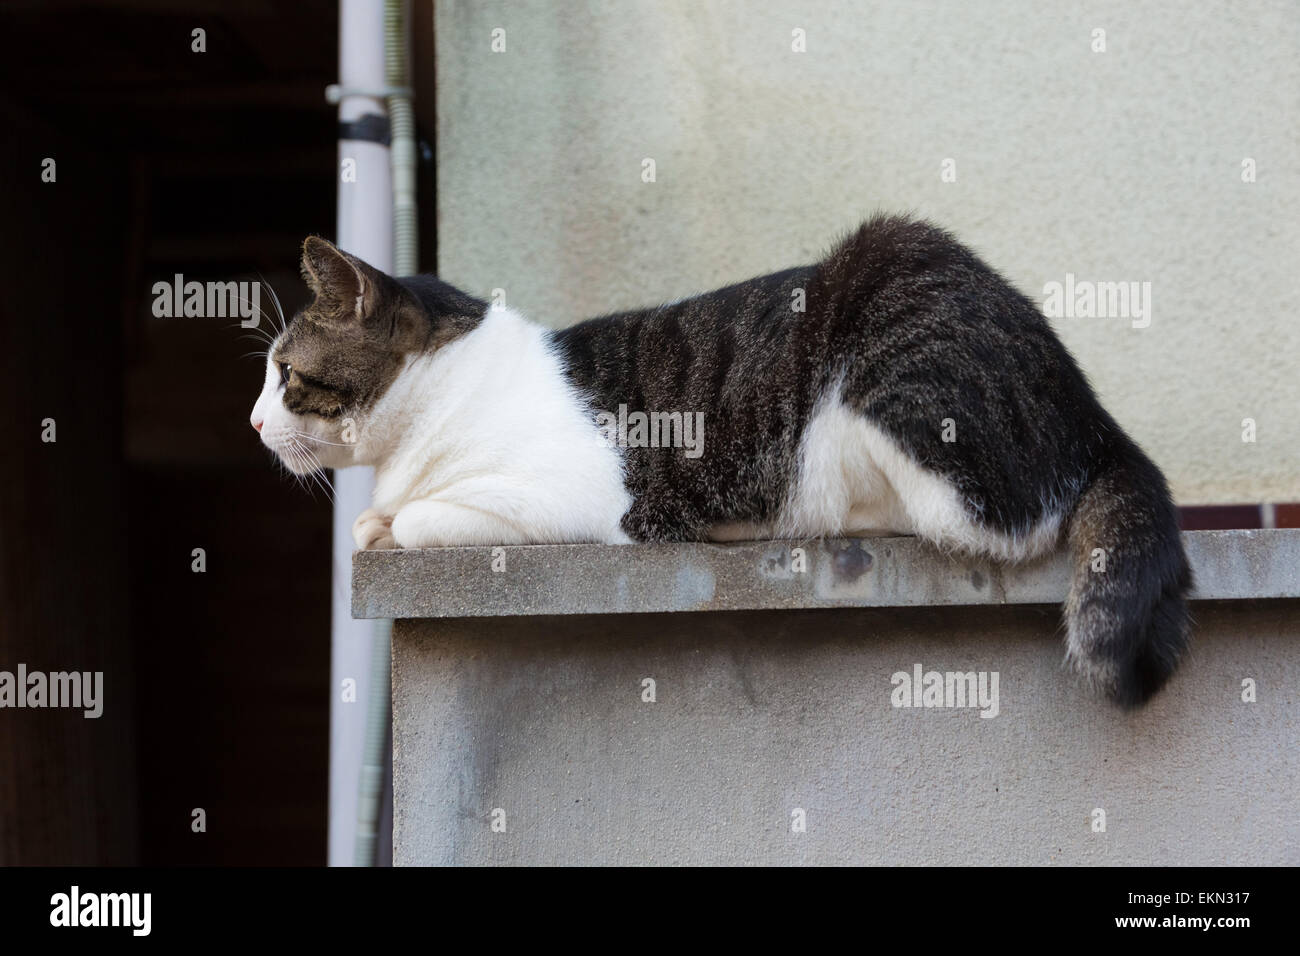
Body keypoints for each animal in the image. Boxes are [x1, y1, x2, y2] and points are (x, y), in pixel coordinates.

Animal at [248, 218, 1190, 712]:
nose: (253, 421)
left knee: (987, 520)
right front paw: (371, 517)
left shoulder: (580, 495)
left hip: (887, 339)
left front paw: (388, 524)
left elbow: (417, 518)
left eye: (287, 375)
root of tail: (1091, 408)